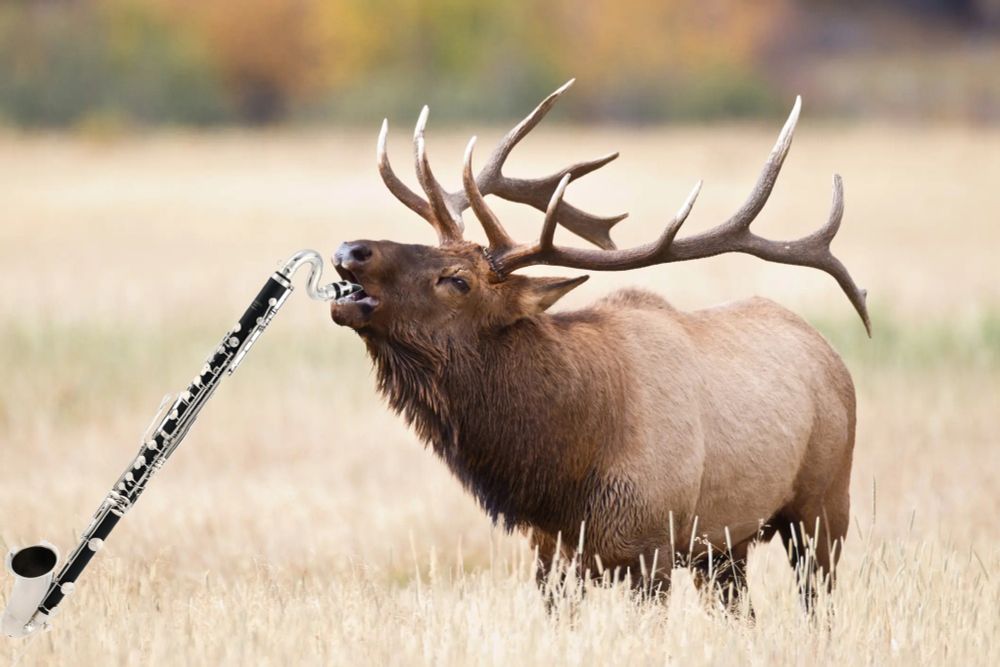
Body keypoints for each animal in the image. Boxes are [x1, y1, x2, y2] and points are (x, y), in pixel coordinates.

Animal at [329, 80, 870, 612]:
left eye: (458, 280)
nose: (351, 250)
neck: (564, 472)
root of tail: (831, 356)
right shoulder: (550, 556)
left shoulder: (651, 547)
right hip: (724, 546)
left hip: (824, 504)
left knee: (818, 601)